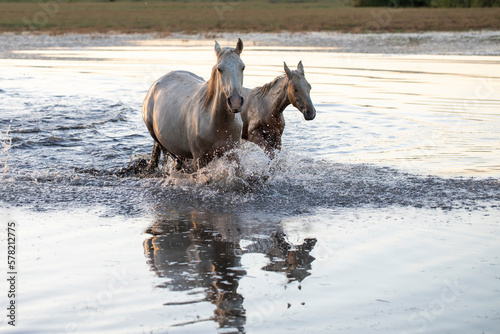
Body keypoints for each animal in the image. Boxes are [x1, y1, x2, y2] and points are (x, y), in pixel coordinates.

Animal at [142, 38, 245, 172]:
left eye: (242, 67)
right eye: (219, 69)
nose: (235, 102)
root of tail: (156, 84)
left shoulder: (233, 155)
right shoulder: (199, 159)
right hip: (153, 132)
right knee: (164, 150)